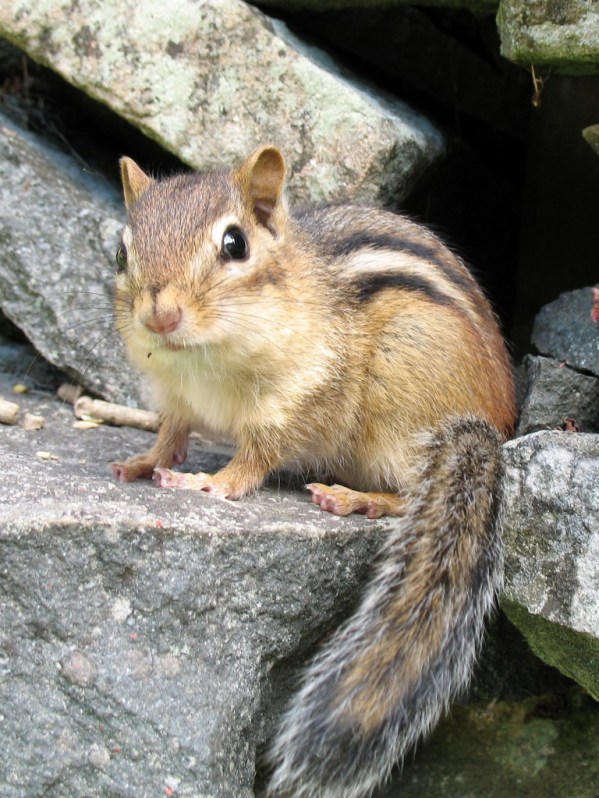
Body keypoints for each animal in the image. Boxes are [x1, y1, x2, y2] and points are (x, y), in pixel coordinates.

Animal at [111, 146, 516, 797]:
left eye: (235, 244)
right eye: (122, 252)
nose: (161, 316)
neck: (205, 363)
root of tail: (491, 430)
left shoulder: (302, 397)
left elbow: (256, 456)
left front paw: (211, 482)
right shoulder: (175, 396)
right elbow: (172, 431)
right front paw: (143, 460)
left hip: (403, 415)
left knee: (410, 492)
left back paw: (355, 499)